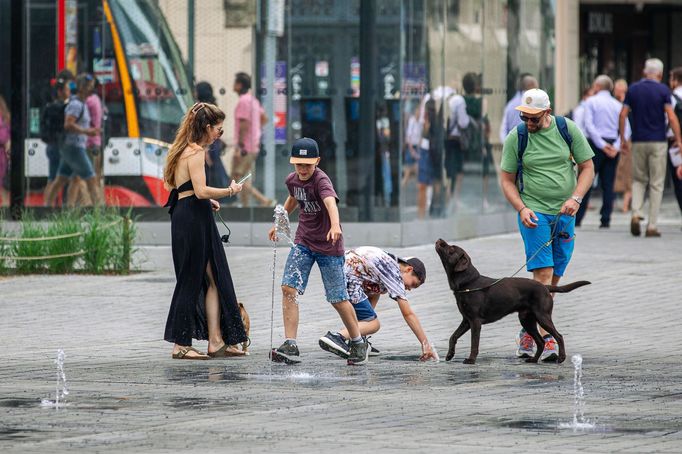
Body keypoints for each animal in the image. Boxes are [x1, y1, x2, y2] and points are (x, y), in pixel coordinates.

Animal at [438, 239, 588, 364]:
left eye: (451, 248)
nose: (440, 239)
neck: (469, 283)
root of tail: (545, 286)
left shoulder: (475, 322)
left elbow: (474, 343)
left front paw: (470, 360)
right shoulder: (466, 320)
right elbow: (453, 336)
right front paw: (450, 355)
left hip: (542, 316)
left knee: (558, 336)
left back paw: (561, 358)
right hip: (527, 319)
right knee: (540, 341)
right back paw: (533, 360)